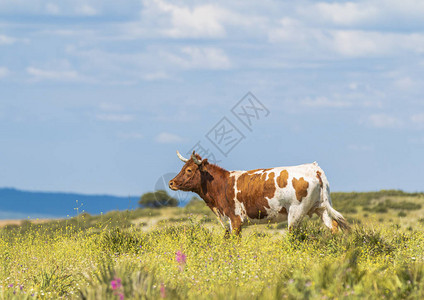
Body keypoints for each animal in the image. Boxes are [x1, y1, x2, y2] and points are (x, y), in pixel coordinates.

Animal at [168, 151, 348, 236]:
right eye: (183, 168)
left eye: (189, 170)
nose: (171, 183)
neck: (222, 184)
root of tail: (313, 167)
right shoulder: (227, 222)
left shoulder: (235, 221)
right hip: (321, 208)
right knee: (334, 227)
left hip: (296, 213)